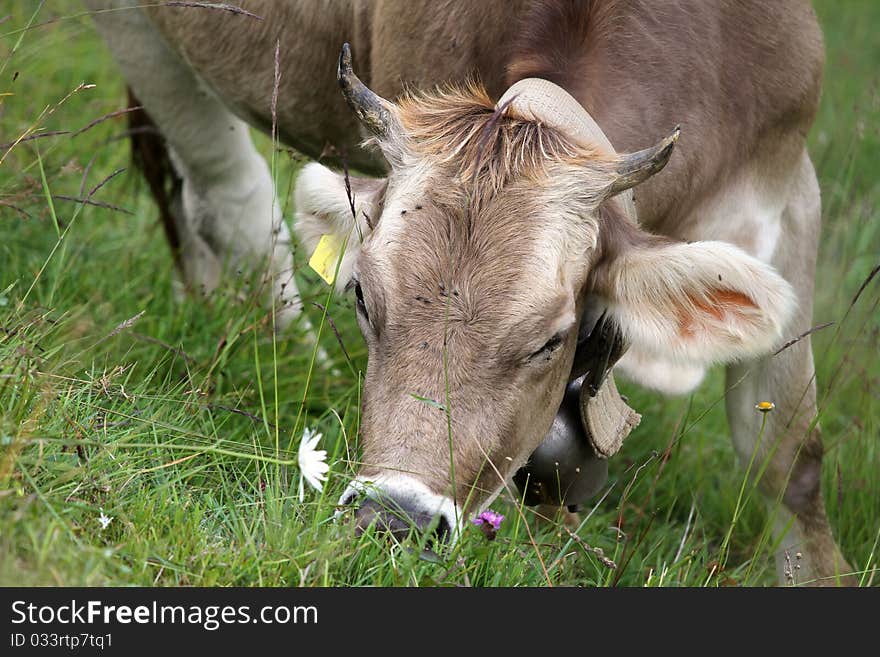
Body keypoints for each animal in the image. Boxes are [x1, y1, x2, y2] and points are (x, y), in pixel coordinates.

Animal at [84, 0, 852, 584]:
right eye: (362, 299)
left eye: (551, 338)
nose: (395, 519)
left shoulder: (790, 195)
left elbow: (788, 457)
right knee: (228, 194)